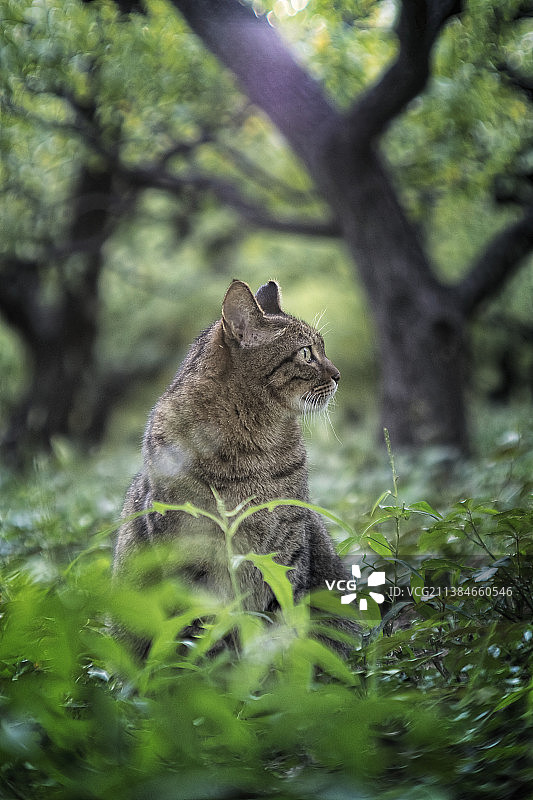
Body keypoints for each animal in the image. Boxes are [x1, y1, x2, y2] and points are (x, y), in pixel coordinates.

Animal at [115, 282, 358, 656]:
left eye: (322, 348)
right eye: (306, 353)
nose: (339, 375)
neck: (253, 447)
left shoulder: (285, 549)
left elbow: (276, 622)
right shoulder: (189, 555)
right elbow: (203, 634)